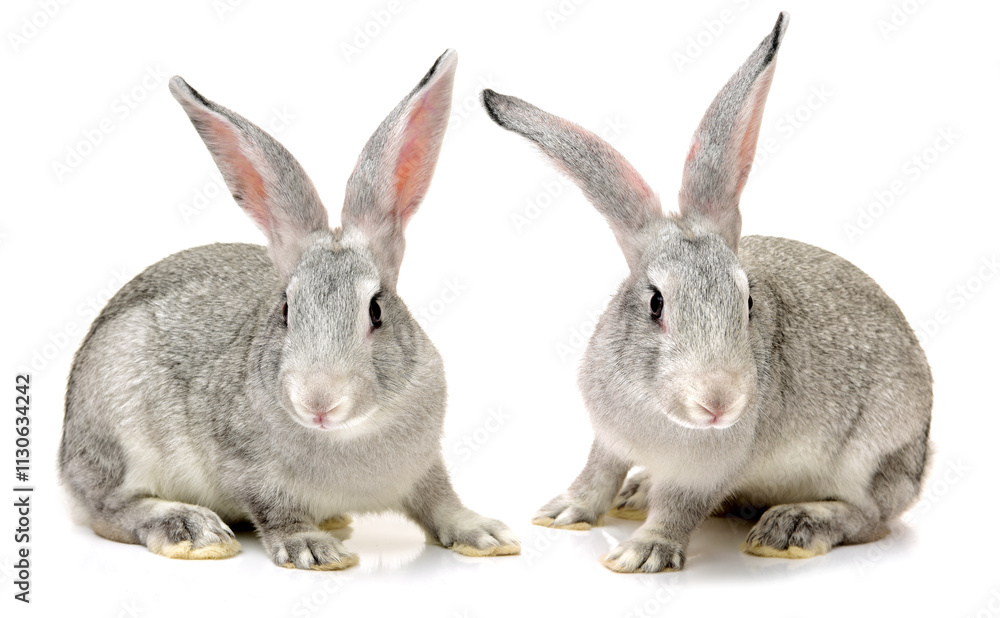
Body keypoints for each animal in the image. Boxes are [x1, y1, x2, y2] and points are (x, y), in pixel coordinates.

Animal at [58, 49, 520, 570]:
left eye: (376, 311)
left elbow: (441, 502)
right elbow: (275, 511)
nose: (318, 402)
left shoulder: (425, 469)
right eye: (285, 310)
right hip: (117, 420)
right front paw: (313, 549)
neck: (348, 433)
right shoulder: (247, 470)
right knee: (110, 506)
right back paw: (191, 529)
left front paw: (485, 534)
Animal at [481, 12, 932, 573]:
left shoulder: (707, 471)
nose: (719, 401)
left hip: (872, 454)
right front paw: (563, 512)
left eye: (748, 302)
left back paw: (791, 527)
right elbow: (598, 473)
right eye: (656, 304)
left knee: (870, 516)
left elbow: (679, 508)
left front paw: (643, 553)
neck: (660, 411)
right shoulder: (608, 439)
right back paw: (637, 493)